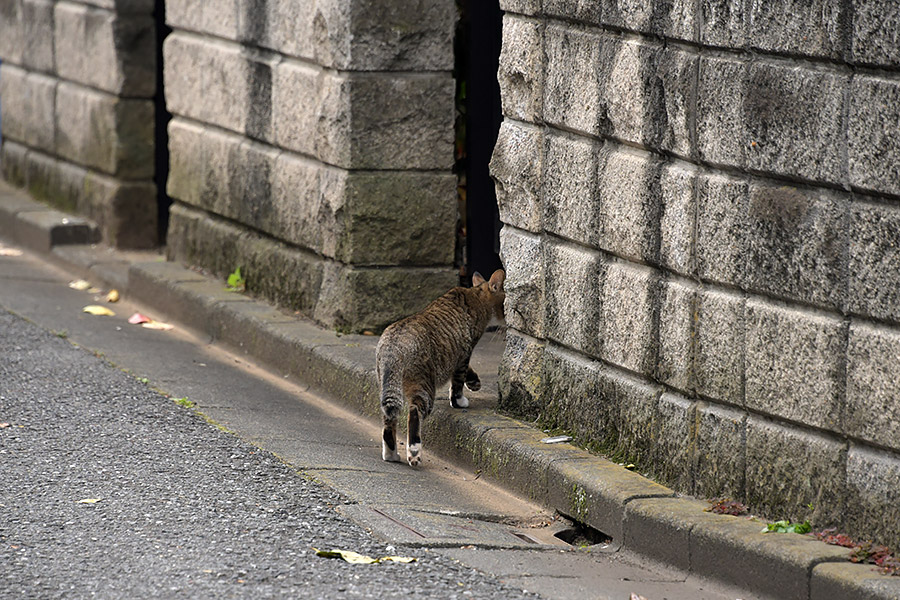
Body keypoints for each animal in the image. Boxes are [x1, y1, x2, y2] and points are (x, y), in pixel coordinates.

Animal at [374, 270, 506, 466]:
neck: (476, 293)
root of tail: (394, 346)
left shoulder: (458, 354)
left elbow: (465, 371)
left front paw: (474, 381)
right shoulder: (465, 352)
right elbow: (458, 381)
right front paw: (459, 400)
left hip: (387, 385)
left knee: (389, 420)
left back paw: (391, 454)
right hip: (424, 385)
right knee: (414, 412)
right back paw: (414, 451)